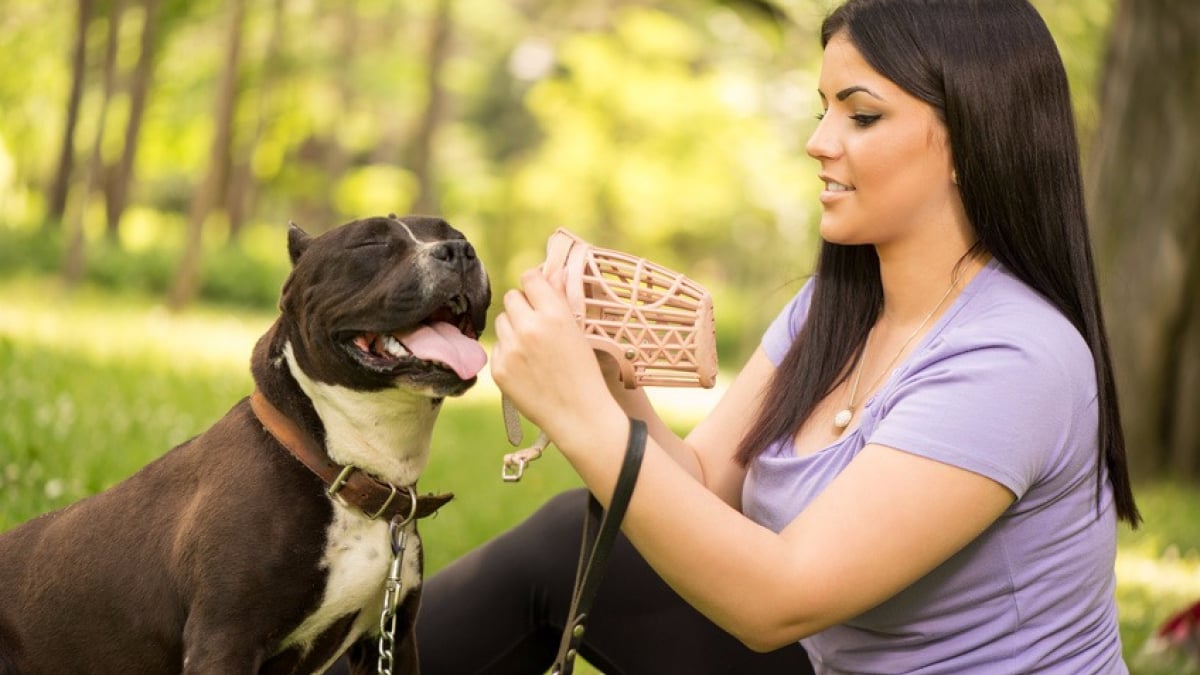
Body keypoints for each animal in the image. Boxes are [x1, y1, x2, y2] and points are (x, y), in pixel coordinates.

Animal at [0, 214, 492, 672]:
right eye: (369, 243)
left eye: (454, 232)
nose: (459, 250)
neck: (336, 465)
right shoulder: (224, 641)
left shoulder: (393, 640)